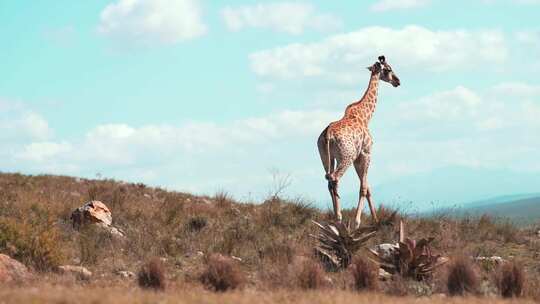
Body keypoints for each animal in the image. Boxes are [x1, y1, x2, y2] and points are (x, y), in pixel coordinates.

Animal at [316, 55, 400, 229]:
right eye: (389, 69)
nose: (398, 81)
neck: (365, 116)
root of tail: (328, 134)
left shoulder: (357, 158)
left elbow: (367, 187)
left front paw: (375, 219)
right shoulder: (366, 153)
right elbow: (363, 187)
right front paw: (357, 222)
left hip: (326, 157)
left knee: (329, 179)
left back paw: (335, 219)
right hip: (346, 157)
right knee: (335, 178)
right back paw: (339, 218)